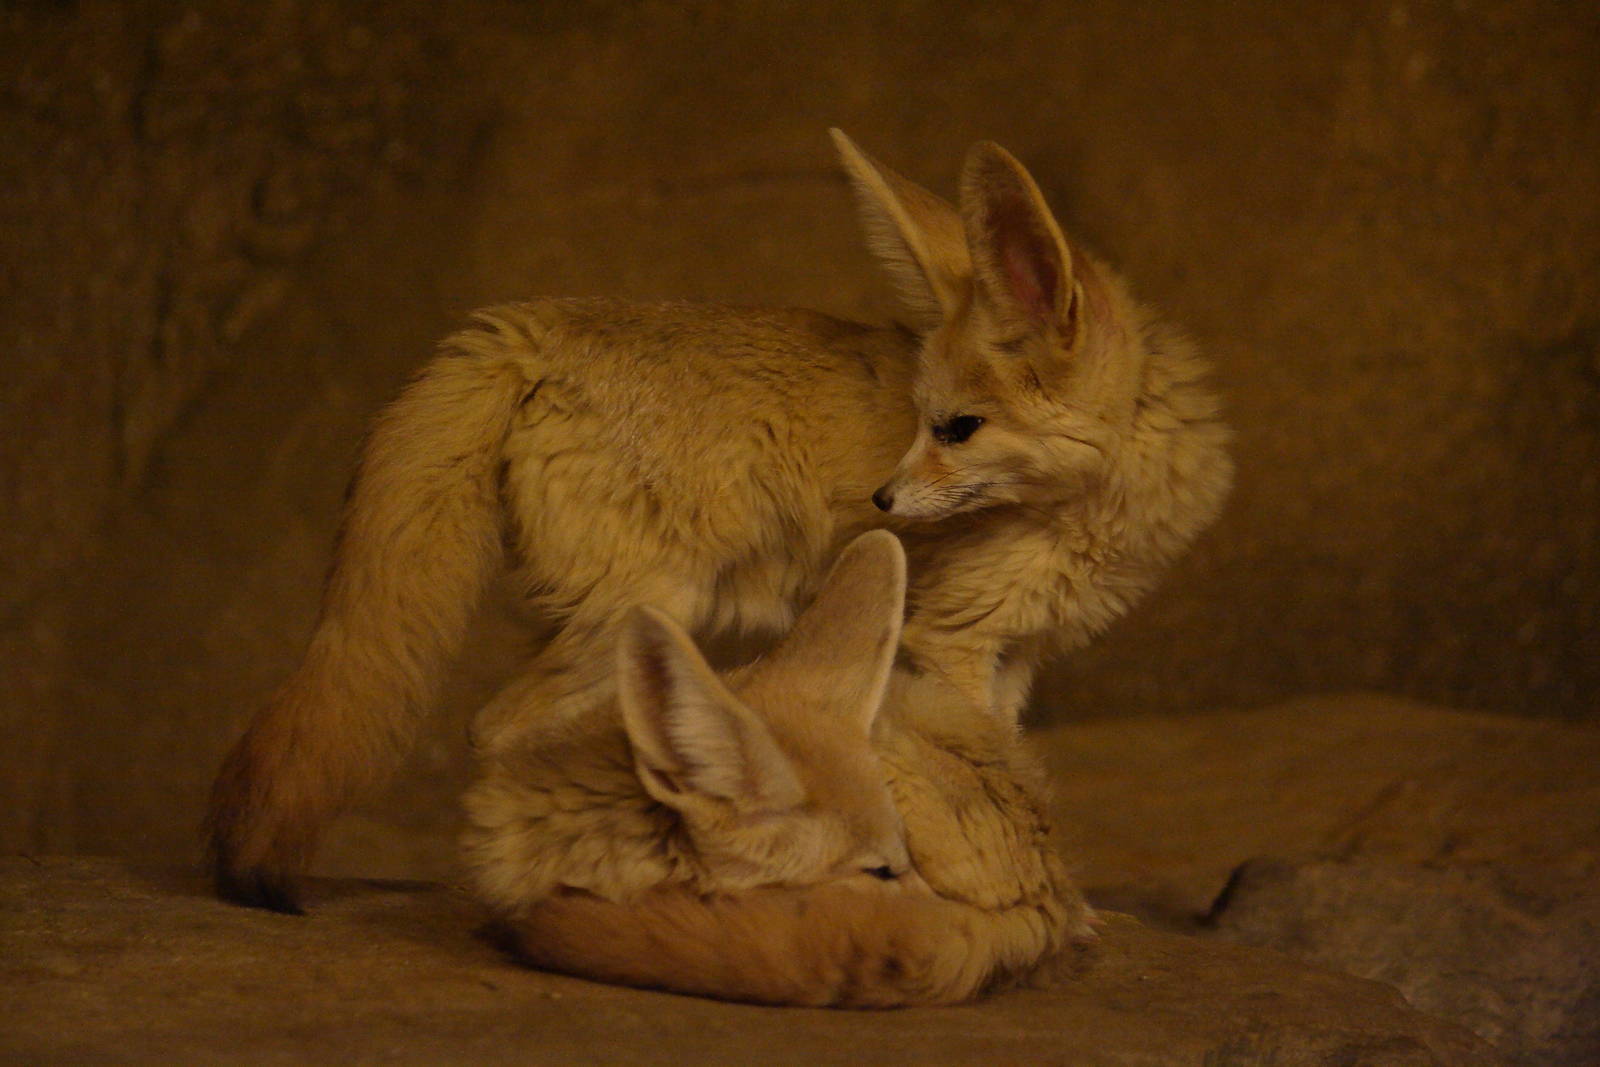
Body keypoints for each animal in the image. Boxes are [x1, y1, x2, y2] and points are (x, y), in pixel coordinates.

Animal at [206, 129, 1232, 912]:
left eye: (955, 428)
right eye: (924, 422)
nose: (883, 504)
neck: (1098, 503)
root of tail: (524, 323)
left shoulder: (1014, 656)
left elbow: (1016, 770)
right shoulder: (954, 641)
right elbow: (990, 773)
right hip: (651, 608)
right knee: (497, 726)